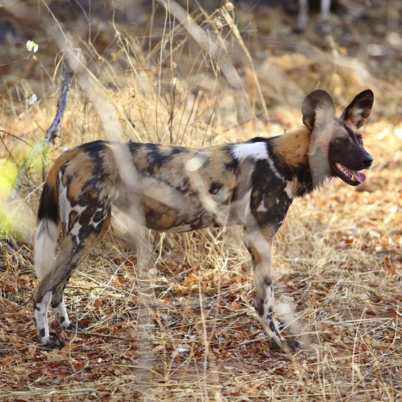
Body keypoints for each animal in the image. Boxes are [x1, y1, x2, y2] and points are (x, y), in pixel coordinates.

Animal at [32, 88, 374, 348]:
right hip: (84, 233)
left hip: (87, 234)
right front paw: (278, 341)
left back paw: (68, 325)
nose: (369, 159)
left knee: (58, 287)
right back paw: (45, 339)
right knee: (42, 287)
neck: (283, 161)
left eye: (359, 138)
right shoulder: (260, 238)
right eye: (340, 142)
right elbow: (266, 301)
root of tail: (71, 153)